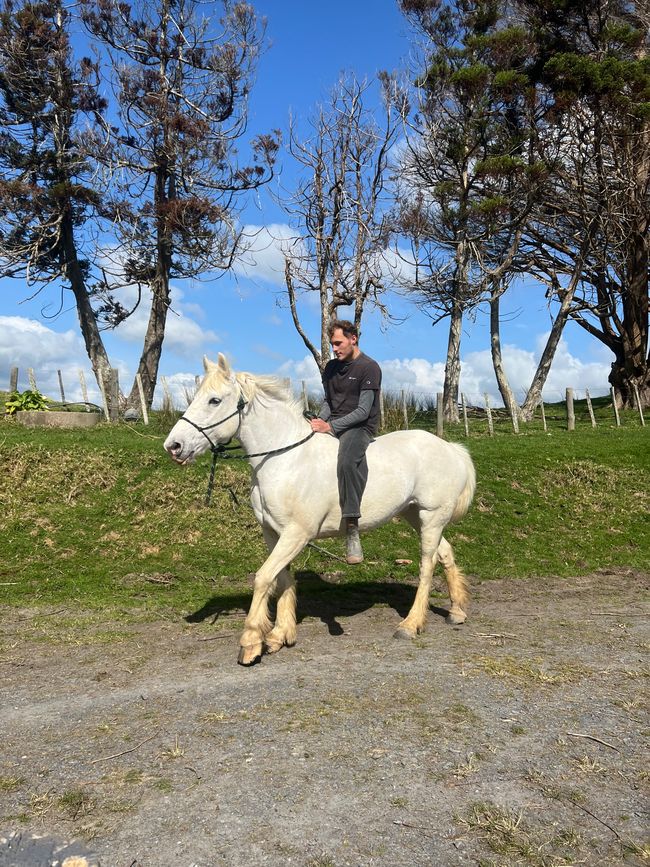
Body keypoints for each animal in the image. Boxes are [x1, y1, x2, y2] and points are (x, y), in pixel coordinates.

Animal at [165, 352, 474, 664]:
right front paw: (280, 635)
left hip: (431, 517)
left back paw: (410, 624)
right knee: (445, 553)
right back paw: (456, 611)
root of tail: (451, 449)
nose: (174, 446)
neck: (284, 458)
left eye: (214, 400)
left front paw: (251, 642)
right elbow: (282, 578)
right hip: (415, 515)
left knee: (427, 565)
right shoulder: (273, 533)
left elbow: (263, 578)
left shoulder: (297, 534)